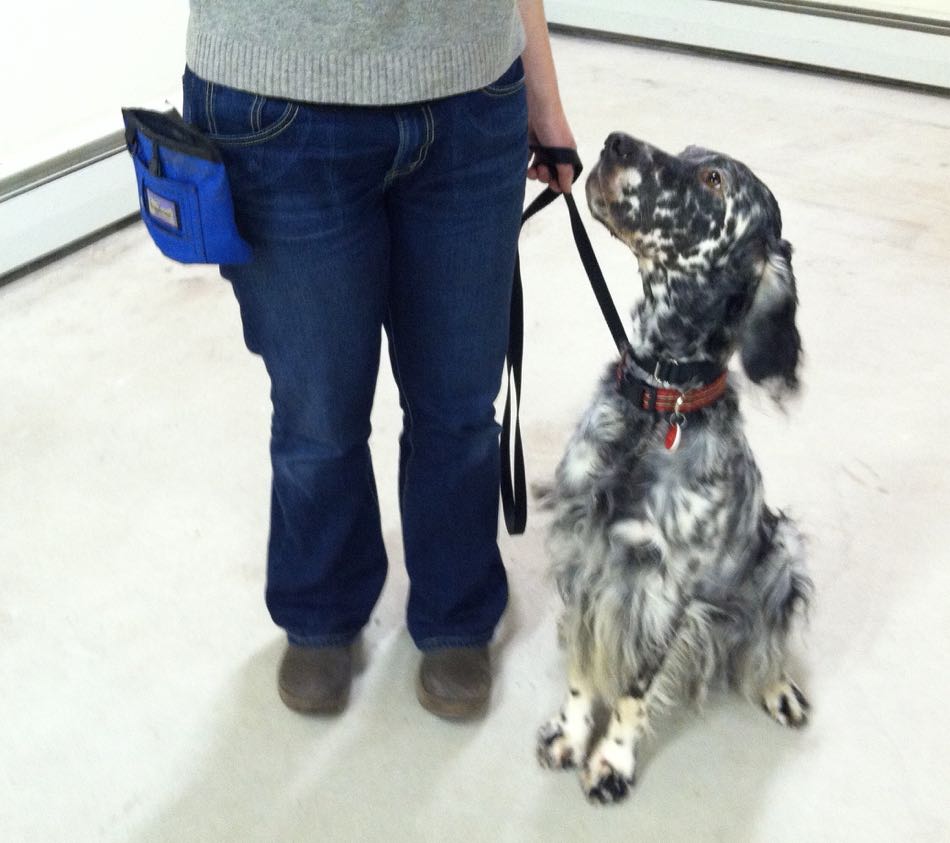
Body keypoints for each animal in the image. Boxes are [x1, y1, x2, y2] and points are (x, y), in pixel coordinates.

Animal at [540, 132, 816, 804]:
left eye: (714, 180)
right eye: (689, 150)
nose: (614, 142)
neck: (657, 405)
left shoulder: (666, 588)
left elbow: (632, 691)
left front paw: (611, 762)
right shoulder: (584, 556)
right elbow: (584, 666)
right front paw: (570, 733)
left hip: (783, 548)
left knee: (765, 639)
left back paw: (779, 688)